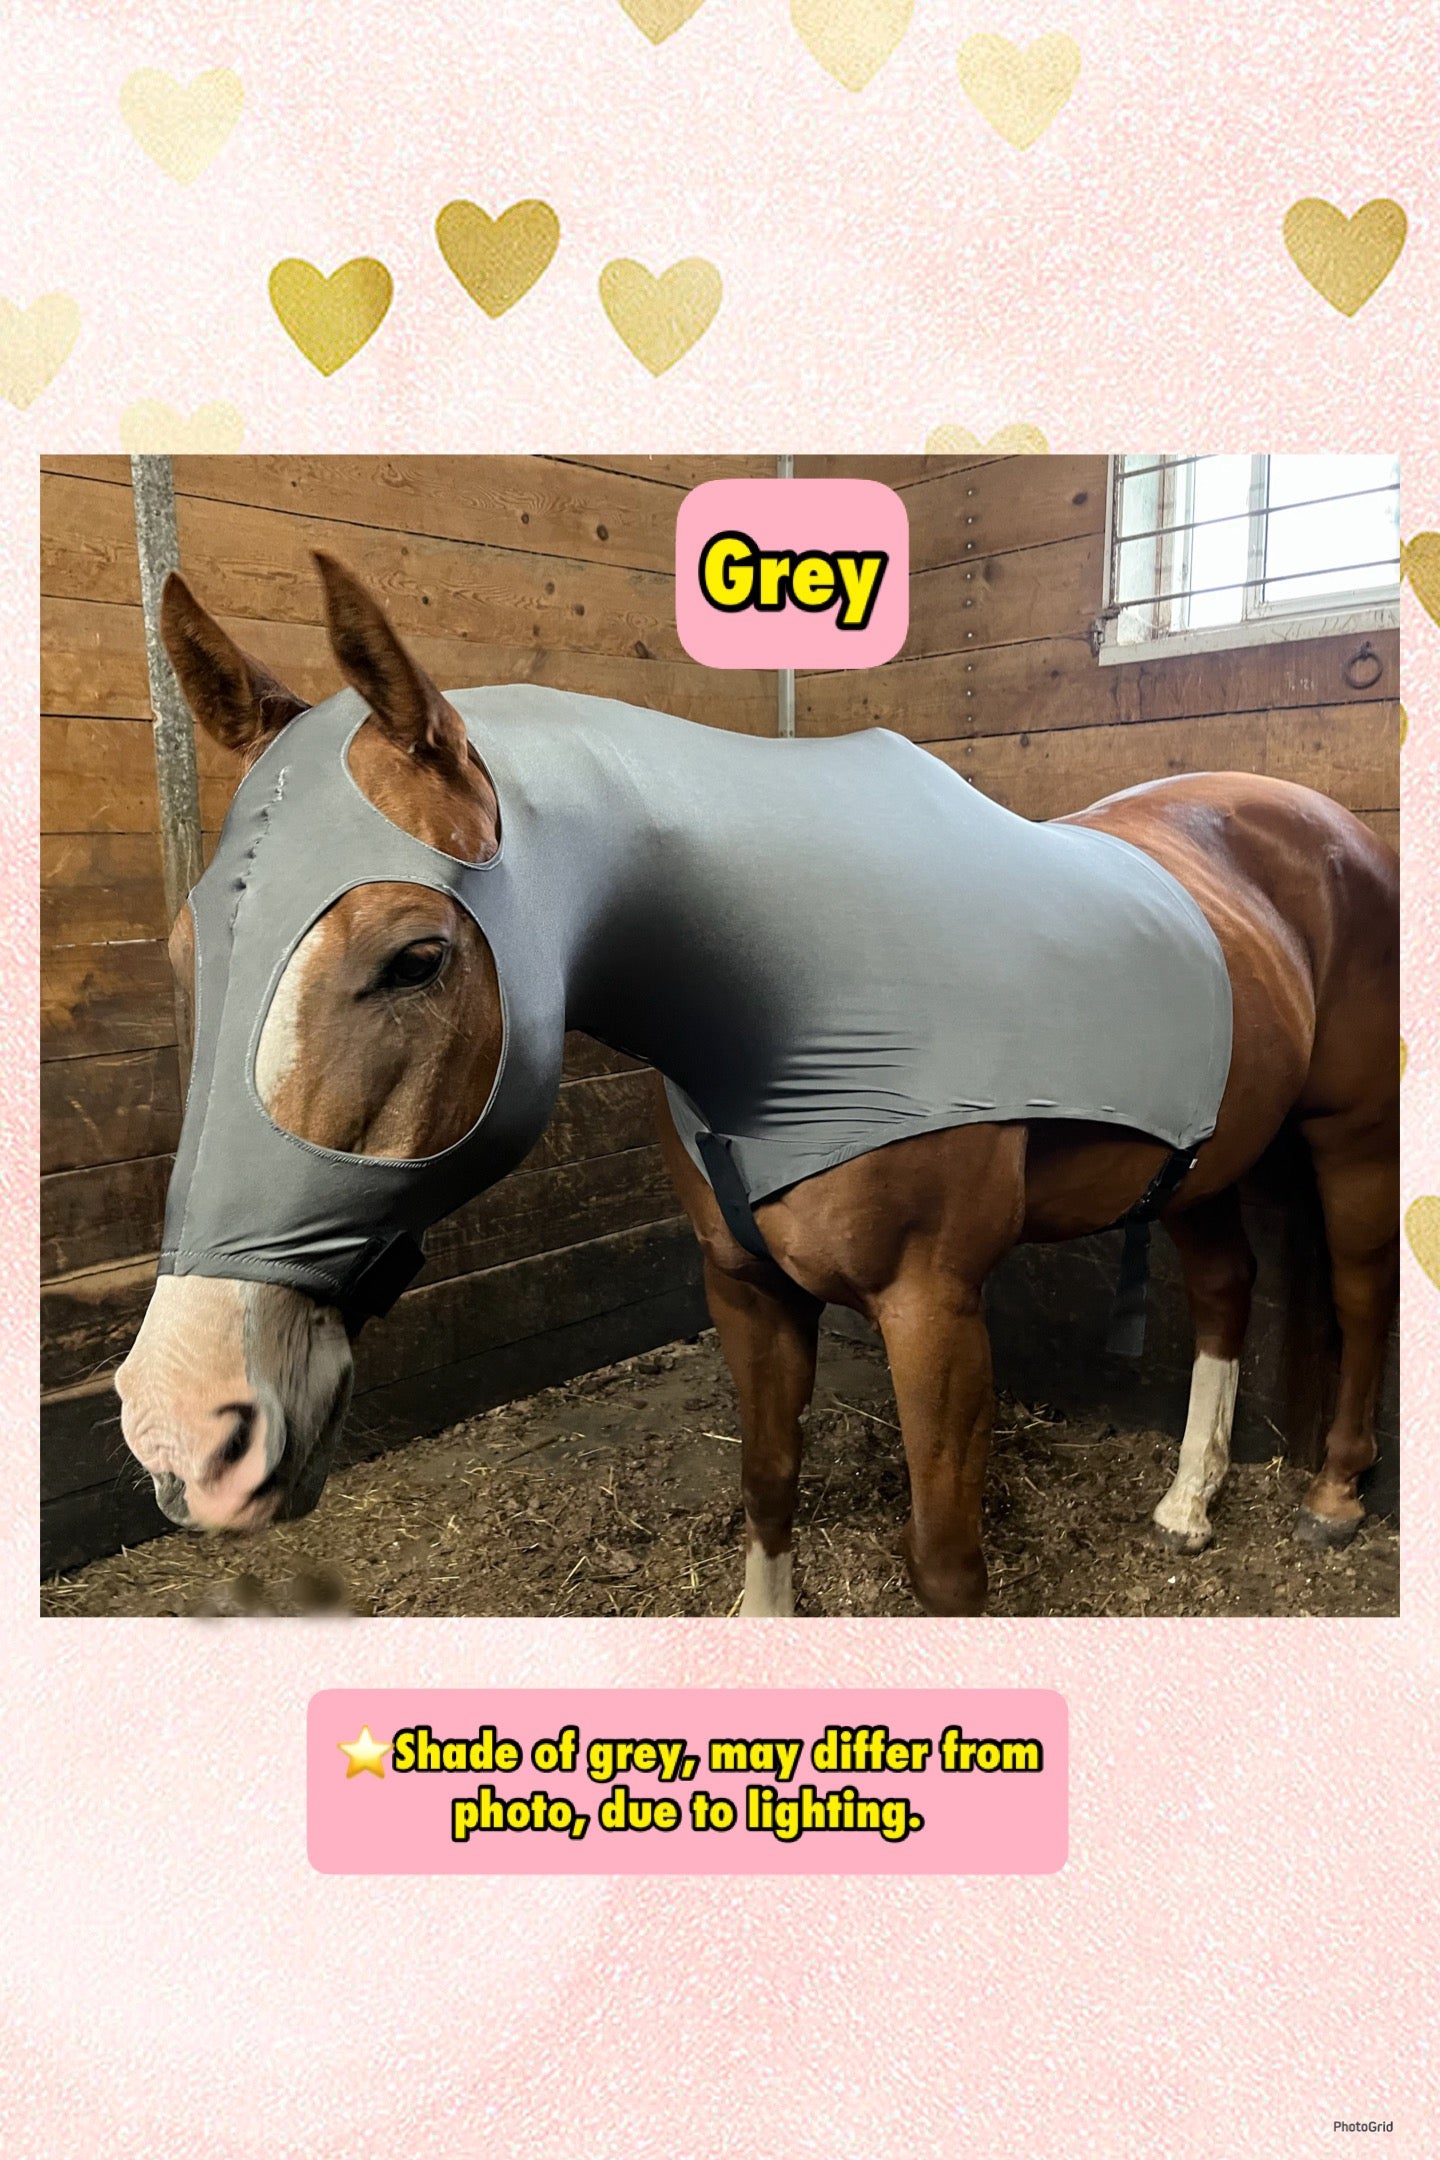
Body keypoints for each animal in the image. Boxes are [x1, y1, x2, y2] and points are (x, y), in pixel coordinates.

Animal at [114, 553, 1399, 1617]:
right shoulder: (744, 1286)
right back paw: (1187, 1505)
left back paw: (1333, 1497)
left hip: (1350, 1138)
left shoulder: (934, 1308)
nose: (184, 1425)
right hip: (1203, 1159)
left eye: (415, 957)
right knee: (1227, 1290)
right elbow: (769, 1477)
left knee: (1356, 1289)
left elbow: (944, 1568)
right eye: (186, 953)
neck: (786, 1002)